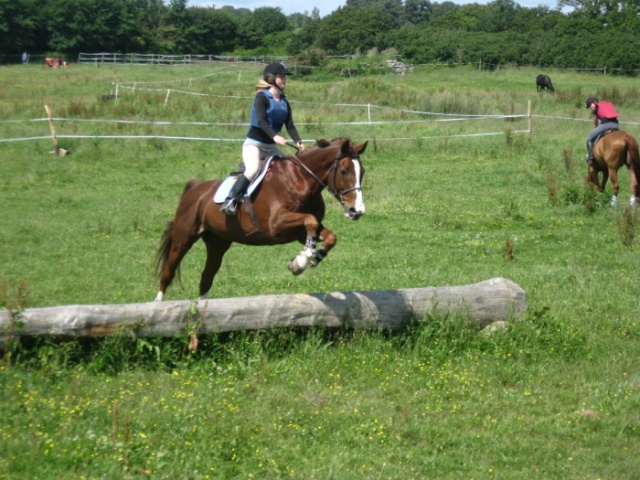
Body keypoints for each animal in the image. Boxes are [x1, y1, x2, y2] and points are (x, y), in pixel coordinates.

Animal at [152, 137, 368, 300]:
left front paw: (310, 259)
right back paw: (158, 306)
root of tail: (195, 188)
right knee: (168, 271)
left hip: (217, 243)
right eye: (344, 171)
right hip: (183, 238)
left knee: (206, 277)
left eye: (362, 172)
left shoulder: (298, 232)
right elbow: (310, 221)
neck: (300, 180)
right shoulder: (276, 226)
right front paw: (301, 260)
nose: (356, 211)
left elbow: (328, 235)